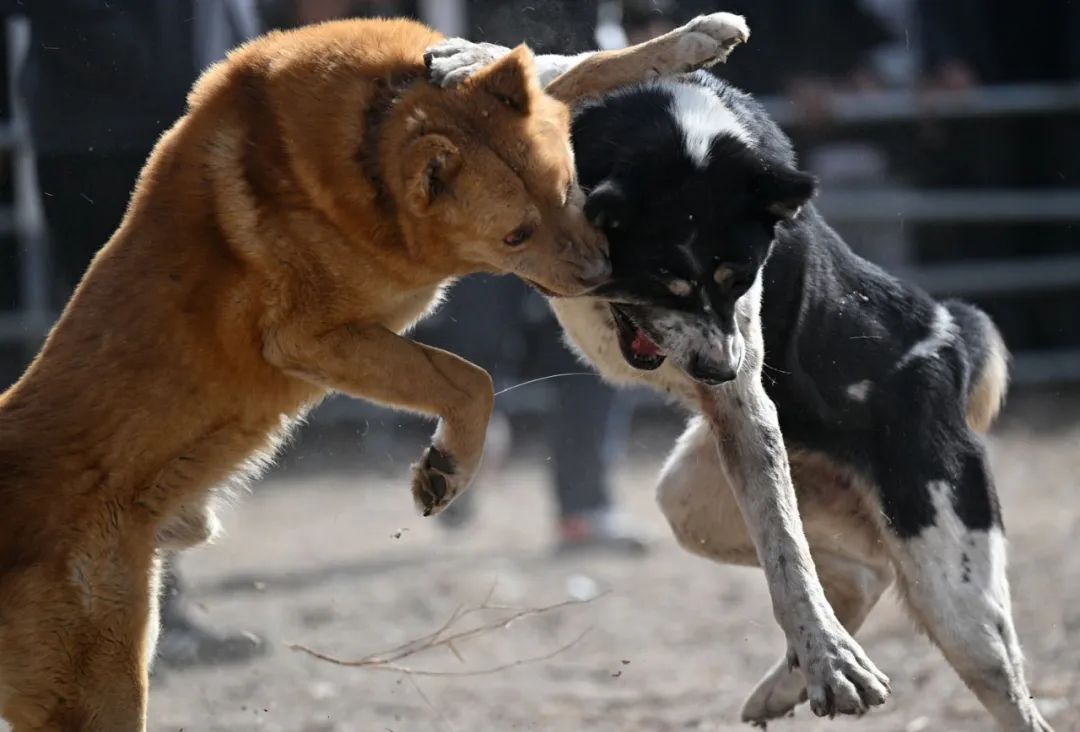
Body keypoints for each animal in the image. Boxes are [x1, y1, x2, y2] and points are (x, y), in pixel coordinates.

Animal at [0, 14, 752, 731]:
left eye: (570, 188)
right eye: (516, 234)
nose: (603, 276)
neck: (376, 131)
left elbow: (584, 69)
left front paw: (694, 40)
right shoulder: (312, 339)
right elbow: (468, 381)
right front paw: (448, 469)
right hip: (98, 687)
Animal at [432, 46, 1052, 729]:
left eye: (740, 277)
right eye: (665, 281)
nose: (718, 370)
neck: (684, 139)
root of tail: (950, 342)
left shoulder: (743, 397)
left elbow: (786, 555)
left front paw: (830, 662)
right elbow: (555, 71)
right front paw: (468, 59)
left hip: (952, 580)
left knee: (996, 677)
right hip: (693, 498)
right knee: (860, 576)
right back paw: (786, 685)